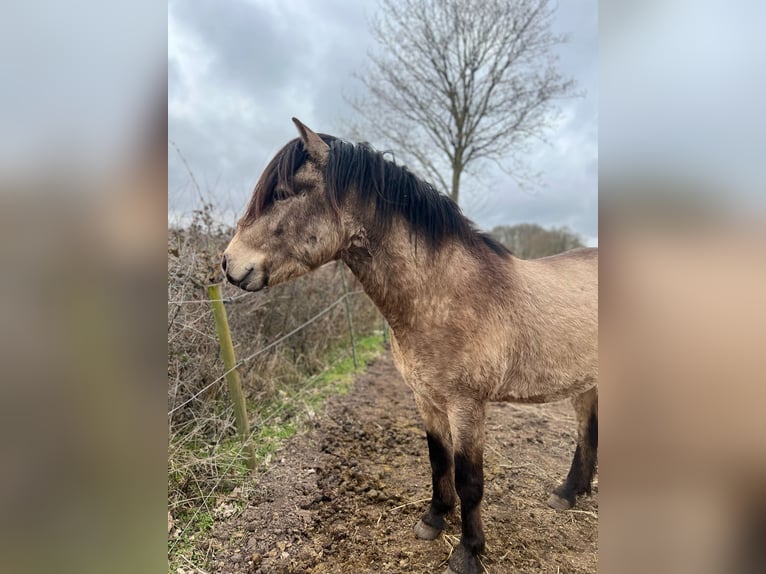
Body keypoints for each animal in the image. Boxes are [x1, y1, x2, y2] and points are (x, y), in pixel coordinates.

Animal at [222, 118, 598, 574]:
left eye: (281, 193)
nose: (228, 264)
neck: (443, 293)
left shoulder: (467, 405)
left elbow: (469, 479)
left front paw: (468, 550)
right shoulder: (425, 397)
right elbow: (439, 461)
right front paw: (434, 519)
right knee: (587, 430)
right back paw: (568, 492)